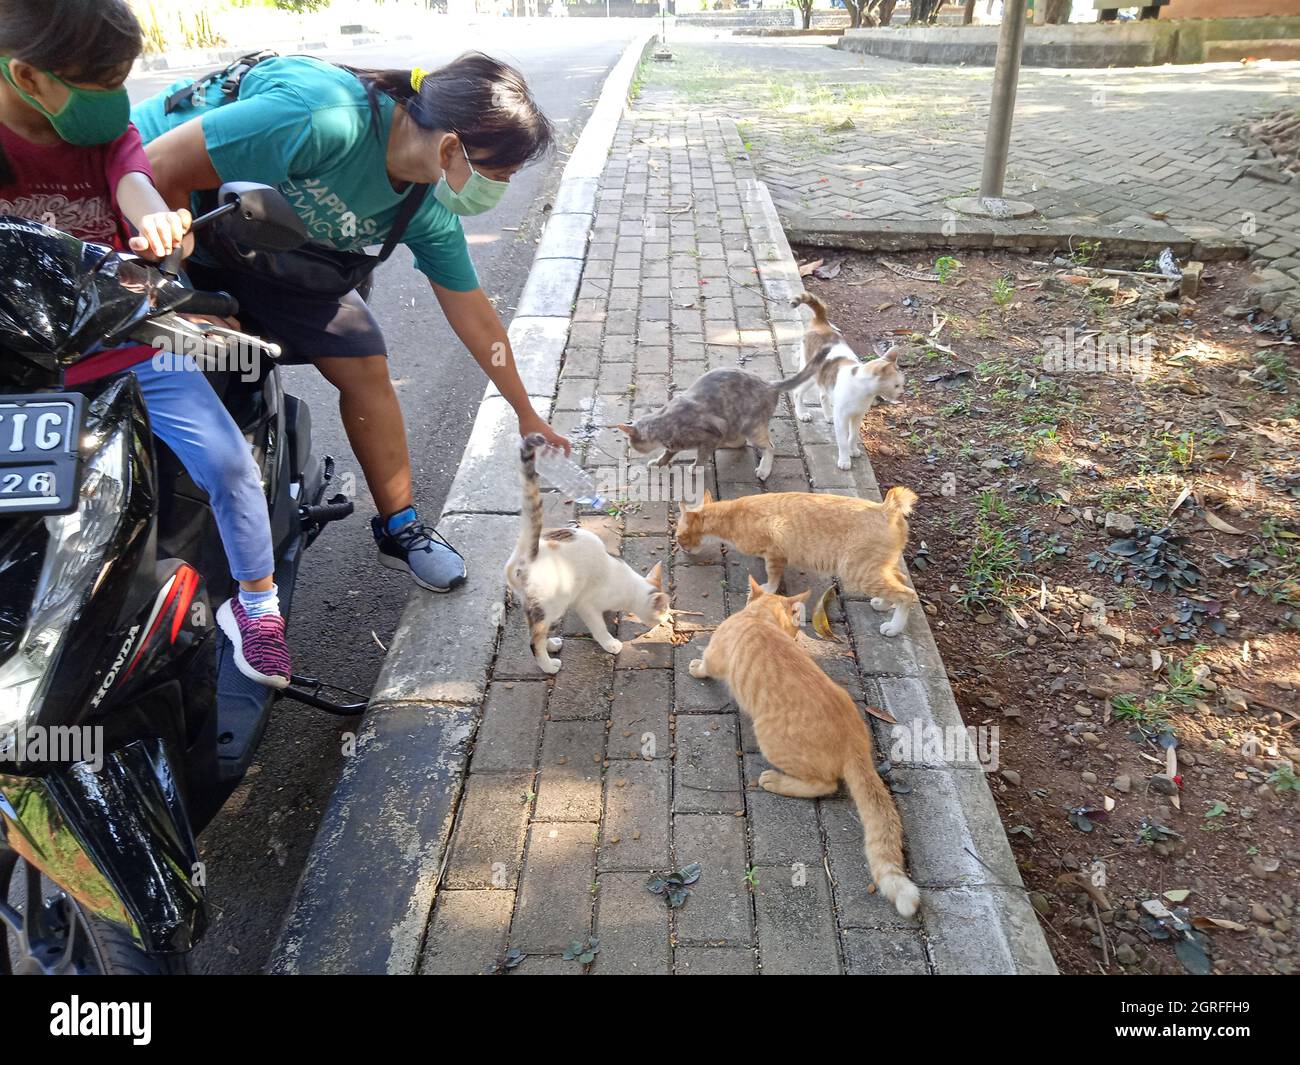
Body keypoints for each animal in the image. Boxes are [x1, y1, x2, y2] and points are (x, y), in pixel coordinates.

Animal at [504, 434, 676, 676]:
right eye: (663, 611)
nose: (666, 619)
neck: (628, 587)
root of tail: (530, 554)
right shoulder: (586, 604)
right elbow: (598, 626)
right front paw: (611, 643)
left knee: (535, 631)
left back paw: (551, 644)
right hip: (554, 602)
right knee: (534, 640)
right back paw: (549, 664)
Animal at [616, 348, 832, 481]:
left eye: (631, 443)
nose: (631, 450)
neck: (667, 424)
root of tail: (769, 384)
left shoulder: (710, 433)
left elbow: (701, 456)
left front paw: (695, 468)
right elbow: (668, 454)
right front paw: (659, 462)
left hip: (751, 426)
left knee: (769, 447)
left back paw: (764, 469)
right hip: (735, 426)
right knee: (740, 442)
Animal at [676, 486, 920, 637]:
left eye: (678, 536)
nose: (681, 549)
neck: (731, 516)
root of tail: (886, 508)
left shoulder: (774, 551)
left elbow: (773, 576)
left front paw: (768, 587)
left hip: (859, 572)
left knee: (908, 594)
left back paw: (894, 627)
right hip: (878, 568)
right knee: (900, 580)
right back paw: (883, 603)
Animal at [691, 579, 925, 920]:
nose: (794, 636)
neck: (757, 619)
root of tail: (854, 740)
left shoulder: (716, 654)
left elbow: (706, 664)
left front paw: (696, 666)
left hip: (768, 737)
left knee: (824, 785)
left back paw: (774, 780)